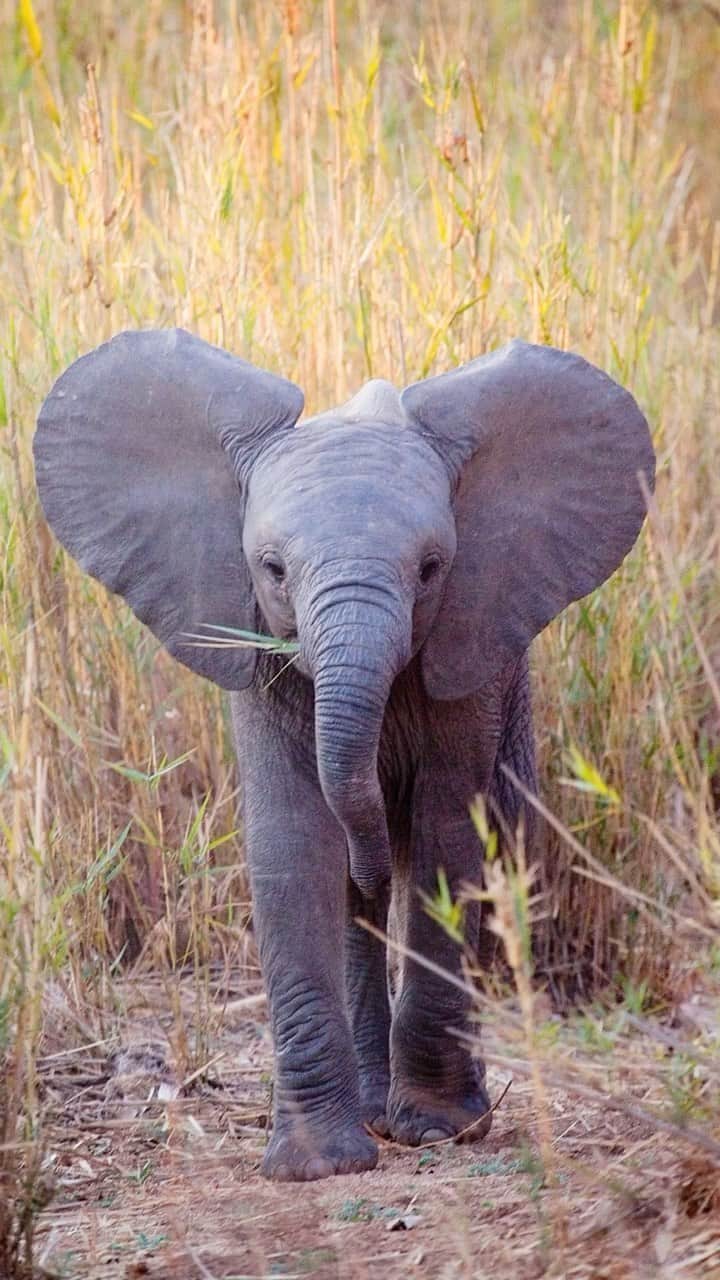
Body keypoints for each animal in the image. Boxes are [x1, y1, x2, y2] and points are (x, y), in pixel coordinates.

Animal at [33, 329, 654, 1181]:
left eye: (430, 569)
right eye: (272, 569)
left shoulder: (471, 649)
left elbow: (446, 834)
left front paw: (436, 1131)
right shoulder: (257, 650)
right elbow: (295, 842)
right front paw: (316, 1165)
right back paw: (368, 1107)